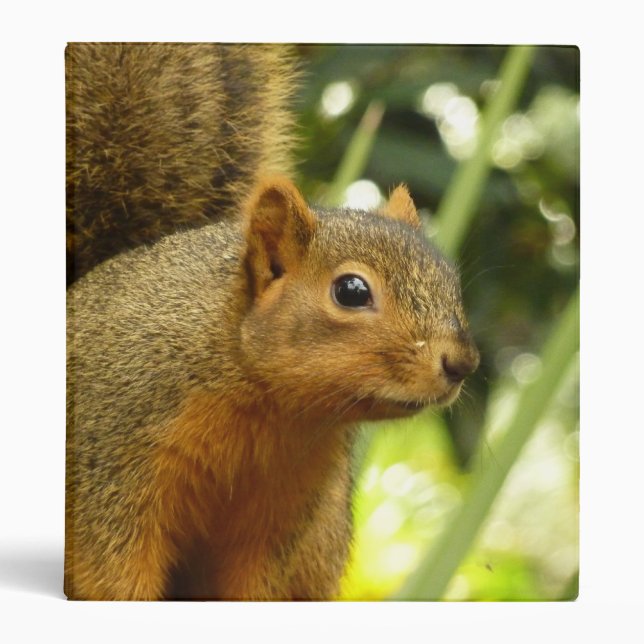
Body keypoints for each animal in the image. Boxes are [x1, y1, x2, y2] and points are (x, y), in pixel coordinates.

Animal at [65, 43, 480, 601]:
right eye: (351, 291)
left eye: (450, 280)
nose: (462, 363)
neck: (269, 410)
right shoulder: (112, 461)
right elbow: (112, 571)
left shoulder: (283, 512)